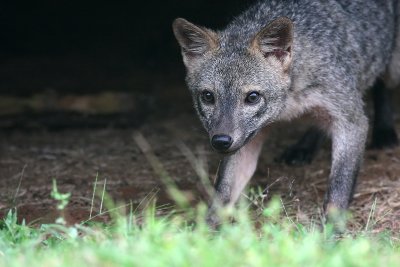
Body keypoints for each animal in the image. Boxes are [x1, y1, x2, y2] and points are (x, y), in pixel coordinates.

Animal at [172, 0, 400, 227]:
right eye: (208, 96)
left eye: (252, 97)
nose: (221, 141)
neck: (289, 104)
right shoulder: (246, 140)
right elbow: (223, 193)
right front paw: (204, 231)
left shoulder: (351, 120)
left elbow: (339, 186)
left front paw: (330, 230)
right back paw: (304, 147)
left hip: (392, 71)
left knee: (382, 87)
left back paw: (384, 131)